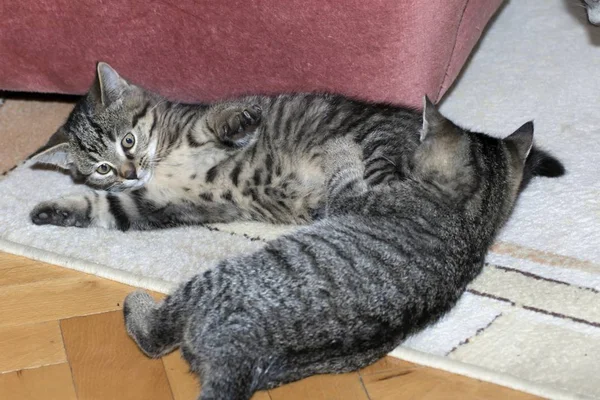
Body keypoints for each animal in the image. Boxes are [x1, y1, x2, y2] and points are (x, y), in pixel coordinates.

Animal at [27, 63, 564, 231]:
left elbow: (215, 120)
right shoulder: (159, 203)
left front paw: (241, 120)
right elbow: (104, 208)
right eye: (100, 167)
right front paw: (50, 210)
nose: (129, 170)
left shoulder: (194, 124)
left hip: (379, 147)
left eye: (129, 139)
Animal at [122, 101, 536, 400]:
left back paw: (137, 306)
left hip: (212, 282)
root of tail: (241, 359)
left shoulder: (351, 199)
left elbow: (347, 176)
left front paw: (342, 148)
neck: (472, 218)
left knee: (155, 337)